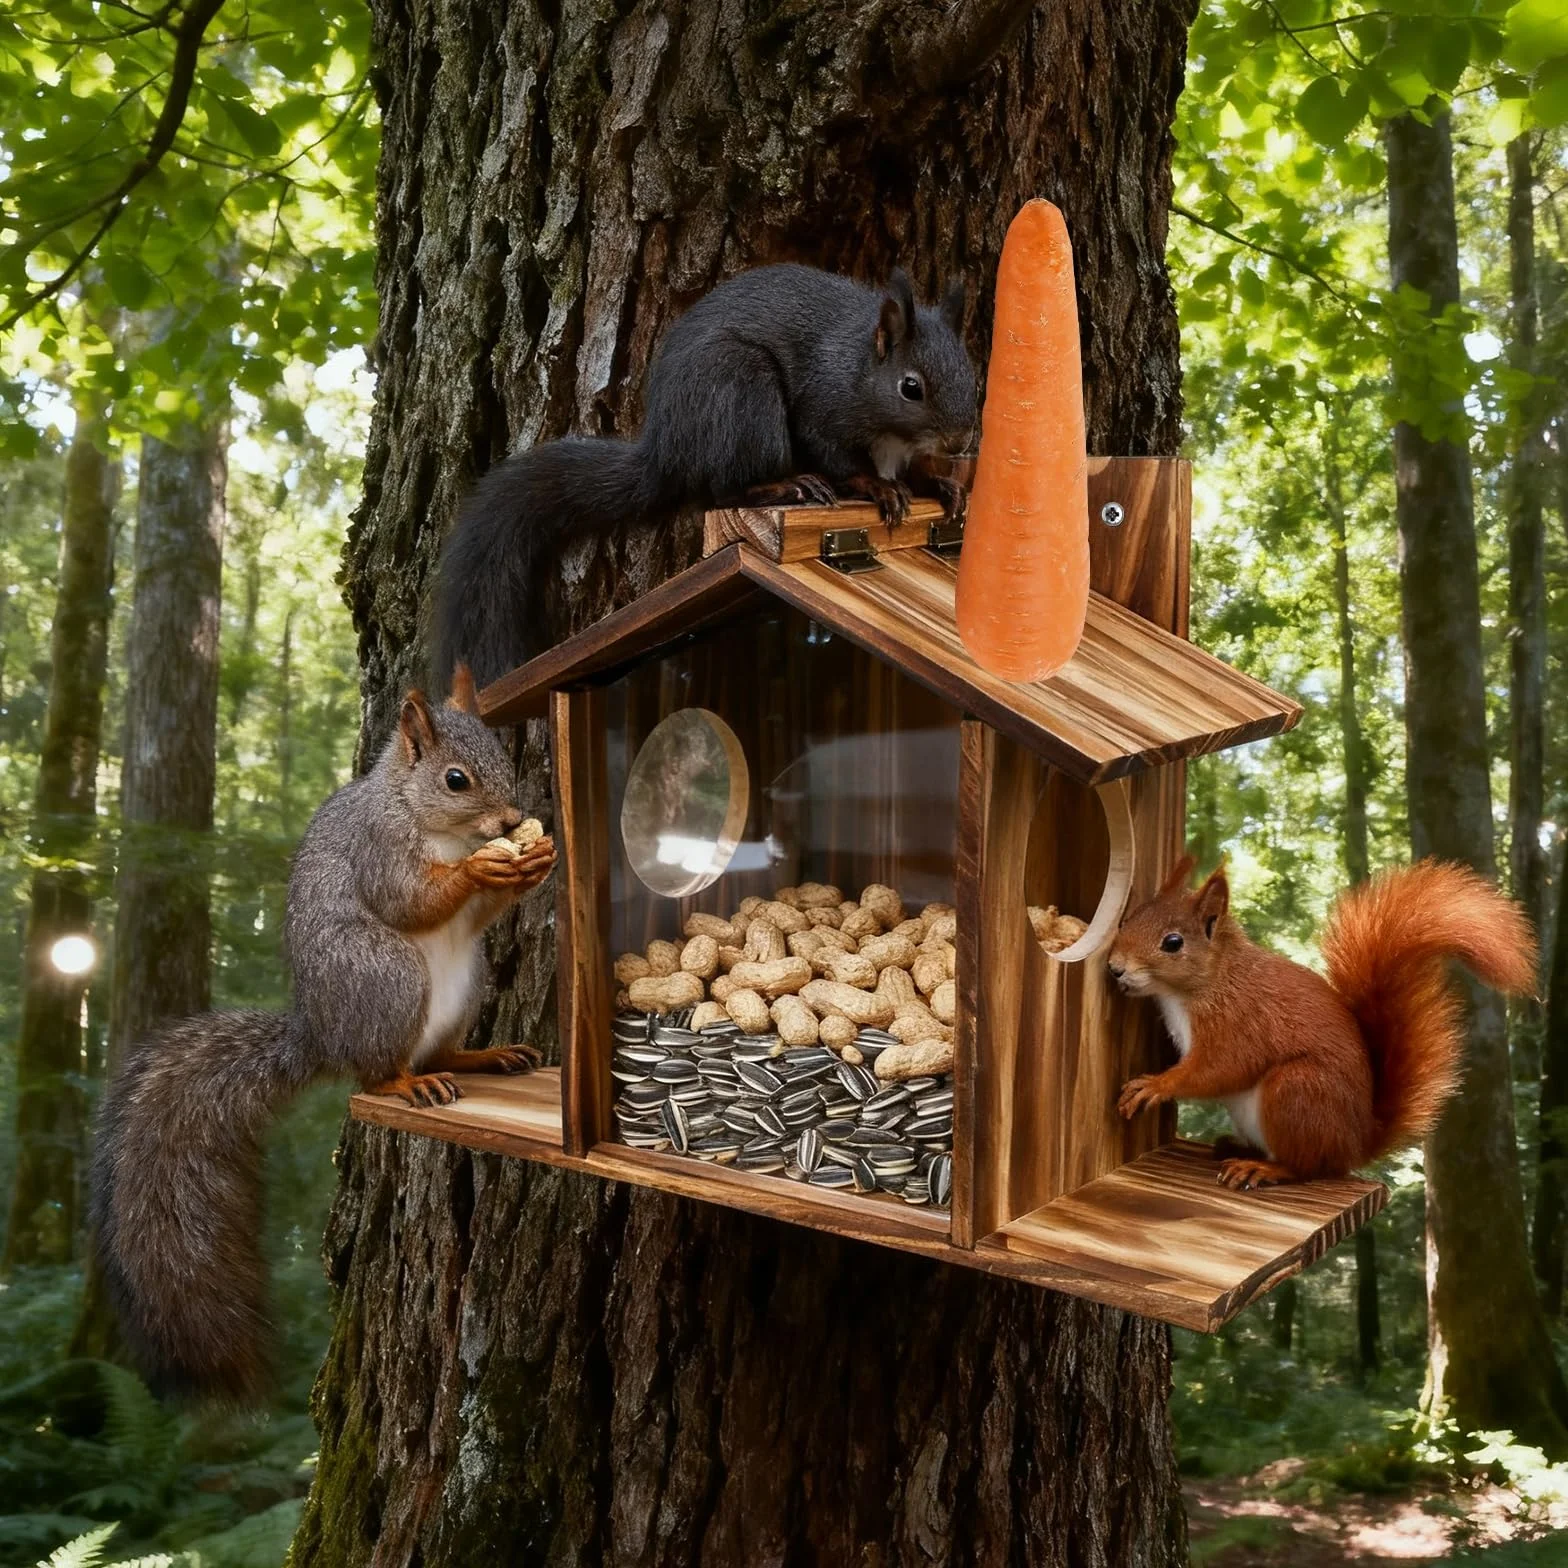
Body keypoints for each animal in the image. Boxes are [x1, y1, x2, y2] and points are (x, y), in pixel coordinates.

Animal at [89, 666, 556, 1402]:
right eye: (456, 780)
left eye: (506, 761)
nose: (513, 822)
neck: (416, 811)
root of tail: (323, 1034)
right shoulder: (378, 851)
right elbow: (410, 899)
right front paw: (483, 868)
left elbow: (480, 913)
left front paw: (534, 861)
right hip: (385, 975)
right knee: (373, 1071)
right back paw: (405, 1084)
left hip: (465, 985)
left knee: (445, 1048)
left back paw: (484, 1055)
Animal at [432, 262, 978, 686]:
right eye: (911, 387)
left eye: (971, 373)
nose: (959, 442)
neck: (862, 367)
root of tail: (667, 452)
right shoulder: (824, 407)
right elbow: (839, 458)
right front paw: (878, 486)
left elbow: (917, 469)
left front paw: (941, 484)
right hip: (740, 392)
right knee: (723, 486)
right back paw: (787, 484)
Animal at [1107, 856, 1537, 1190]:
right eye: (1127, 920)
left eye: (1173, 943)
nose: (1114, 968)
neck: (1212, 980)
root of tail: (1357, 1143)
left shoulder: (1240, 1022)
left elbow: (1220, 1068)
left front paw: (1156, 1085)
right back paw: (1236, 1147)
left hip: (1298, 1090)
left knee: (1308, 1167)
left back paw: (1263, 1167)